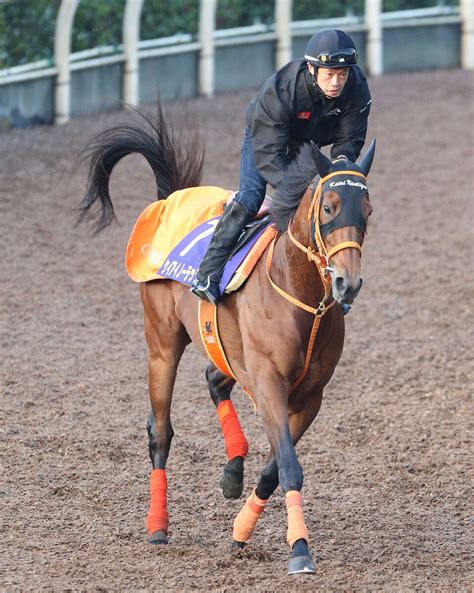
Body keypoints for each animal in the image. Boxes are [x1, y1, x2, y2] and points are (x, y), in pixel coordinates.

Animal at [78, 103, 374, 572]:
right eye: (328, 207)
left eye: (367, 209)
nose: (348, 283)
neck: (301, 296)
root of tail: (168, 199)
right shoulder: (270, 383)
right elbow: (289, 467)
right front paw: (300, 549)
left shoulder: (310, 396)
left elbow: (273, 468)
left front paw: (241, 530)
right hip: (162, 344)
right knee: (160, 431)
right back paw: (158, 526)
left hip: (226, 351)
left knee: (214, 380)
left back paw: (233, 469)